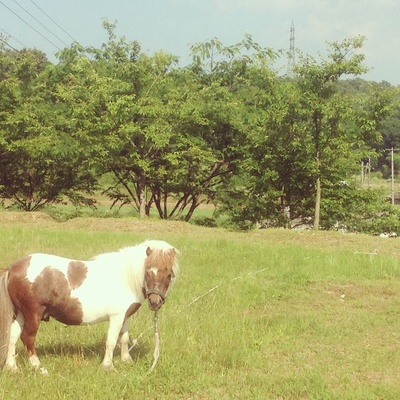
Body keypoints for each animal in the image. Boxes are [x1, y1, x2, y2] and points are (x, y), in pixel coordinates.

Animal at [0, 239, 179, 374]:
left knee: (13, 336)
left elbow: (124, 338)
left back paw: (12, 367)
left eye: (169, 274)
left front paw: (126, 360)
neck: (125, 278)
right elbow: (111, 340)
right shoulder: (116, 317)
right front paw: (108, 366)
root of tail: (12, 268)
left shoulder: (125, 316)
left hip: (20, 314)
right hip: (33, 314)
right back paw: (39, 367)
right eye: (148, 272)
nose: (155, 302)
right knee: (27, 338)